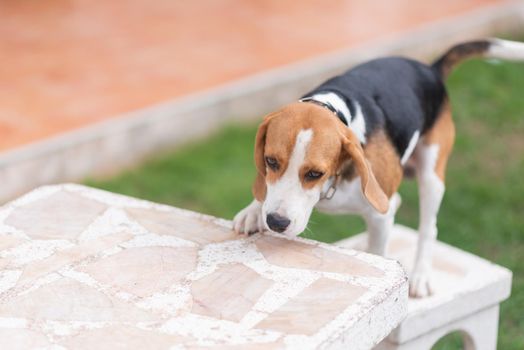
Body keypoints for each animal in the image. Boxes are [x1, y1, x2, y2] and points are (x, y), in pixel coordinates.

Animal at [233, 38, 524, 296]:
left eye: (315, 174)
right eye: (270, 161)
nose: (276, 222)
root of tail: (429, 69)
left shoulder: (379, 211)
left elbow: (381, 247)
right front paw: (253, 210)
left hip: (431, 175)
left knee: (428, 227)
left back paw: (420, 275)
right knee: (396, 204)